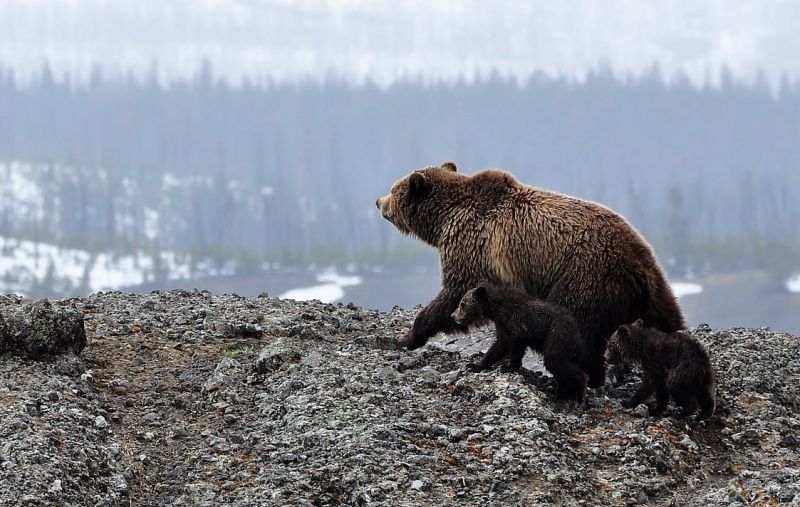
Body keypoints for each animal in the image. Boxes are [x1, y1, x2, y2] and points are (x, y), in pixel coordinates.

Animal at [372, 161, 684, 386]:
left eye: (394, 188)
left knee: (579, 327)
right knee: (668, 320)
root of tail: (636, 262)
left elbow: (454, 292)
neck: (444, 219)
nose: (377, 201)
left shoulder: (472, 245)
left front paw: (410, 335)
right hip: (653, 288)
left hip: (585, 275)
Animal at [454, 286, 592, 400]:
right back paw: (563, 393)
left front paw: (509, 367)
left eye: (462, 304)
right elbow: (499, 346)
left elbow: (515, 346)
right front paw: (474, 365)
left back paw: (580, 391)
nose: (453, 316)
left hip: (557, 336)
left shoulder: (517, 323)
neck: (496, 308)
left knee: (555, 361)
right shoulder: (502, 325)